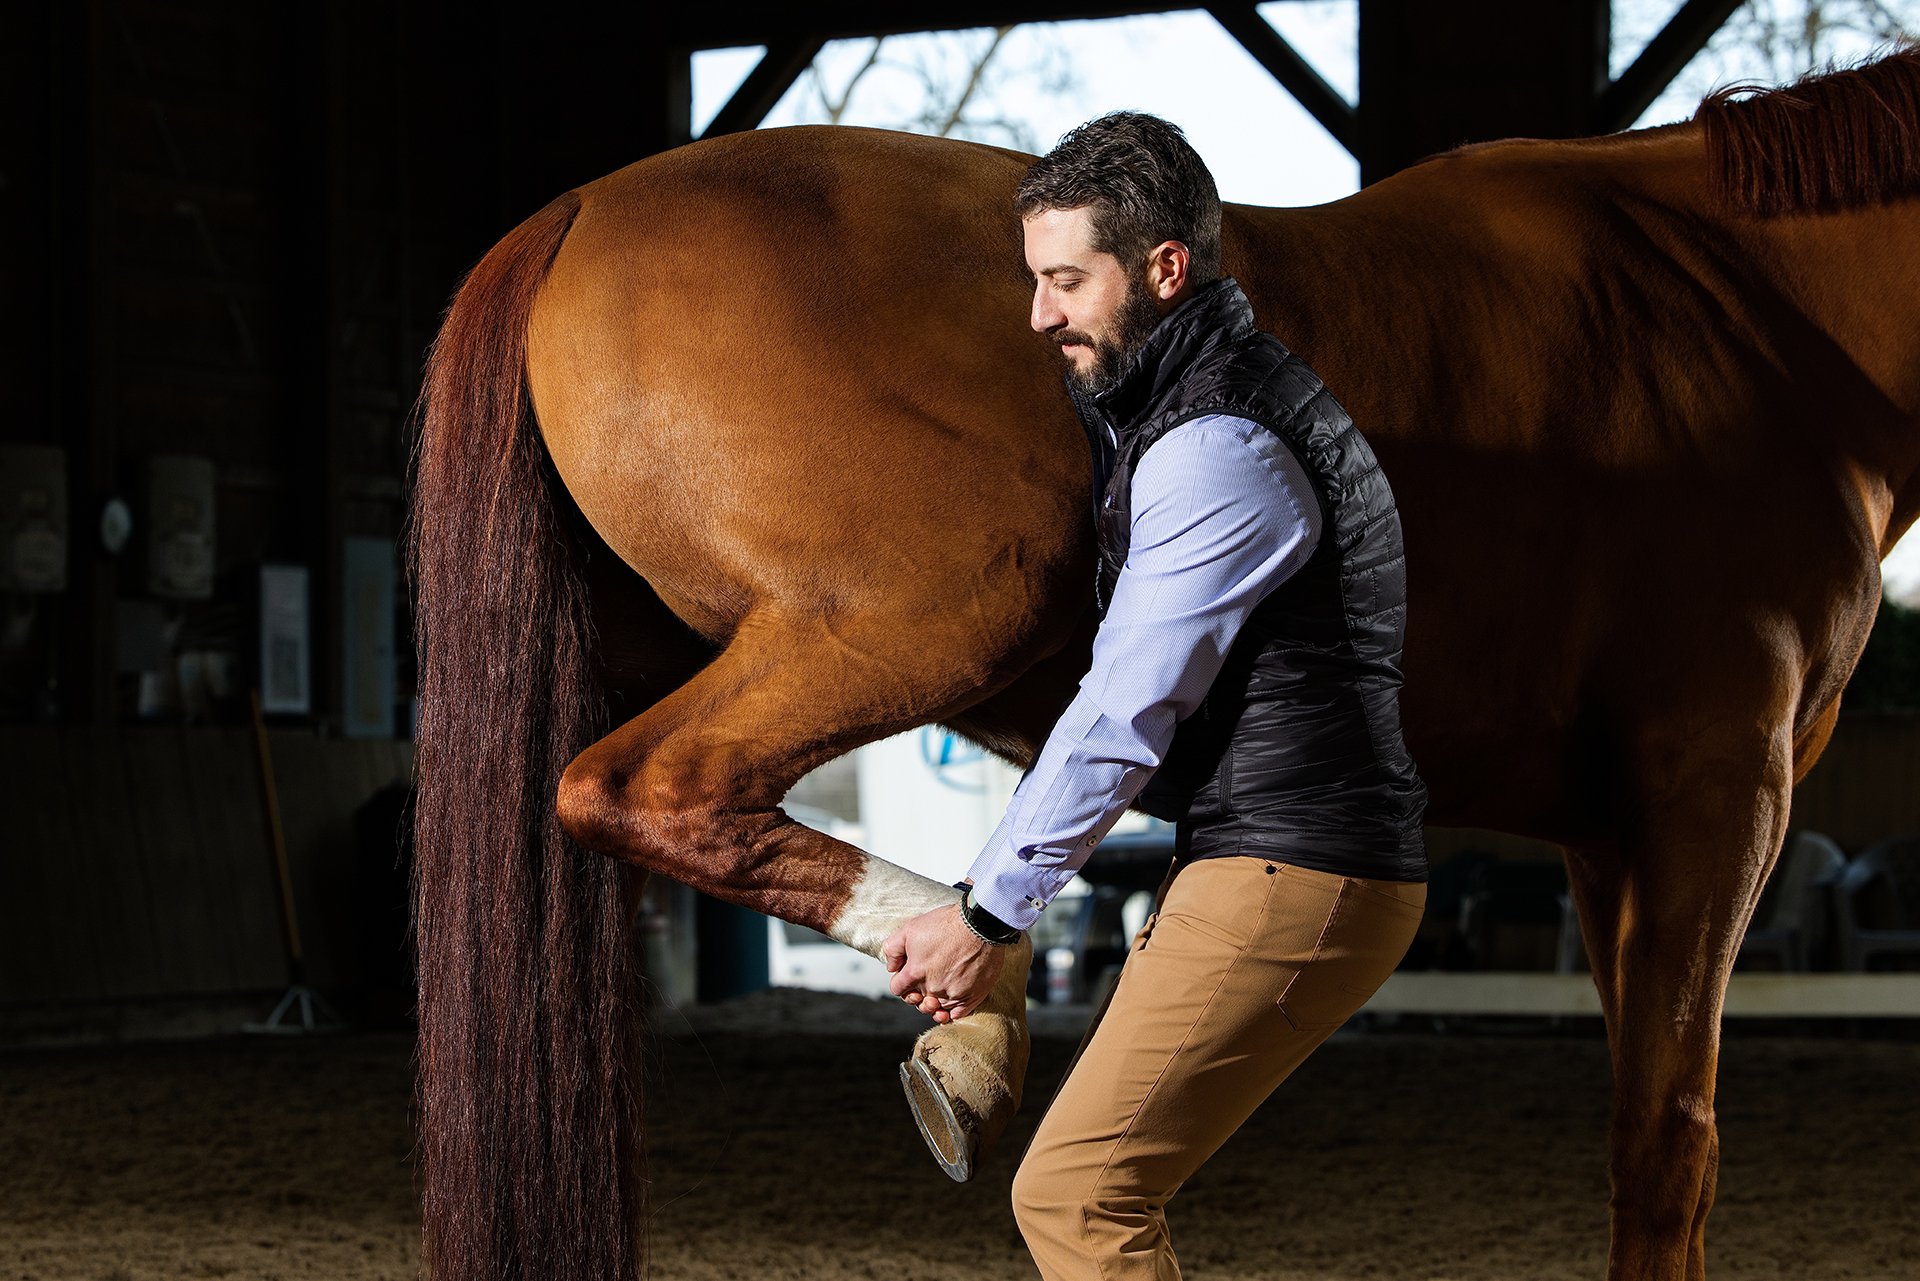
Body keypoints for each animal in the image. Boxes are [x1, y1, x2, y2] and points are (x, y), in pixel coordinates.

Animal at [408, 48, 1920, 1281]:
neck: (1753, 314)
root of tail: (575, 209)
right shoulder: (1714, 794)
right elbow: (1671, 1145)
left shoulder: (1614, 841)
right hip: (928, 613)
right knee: (645, 791)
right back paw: (980, 1001)